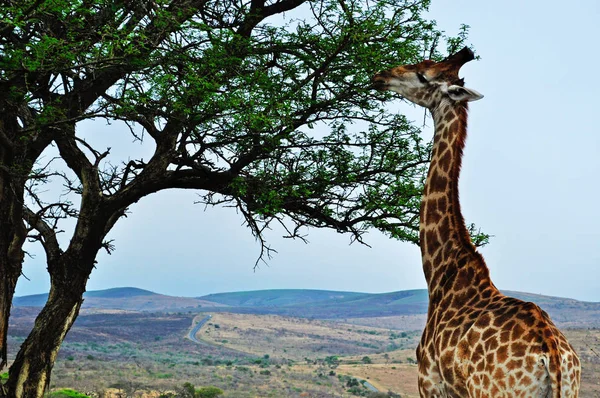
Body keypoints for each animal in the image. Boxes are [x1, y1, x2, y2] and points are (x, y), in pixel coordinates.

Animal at [372, 47, 580, 398]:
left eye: (423, 74)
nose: (381, 76)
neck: (442, 273)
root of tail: (552, 355)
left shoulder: (430, 383)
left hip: (495, 392)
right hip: (571, 389)